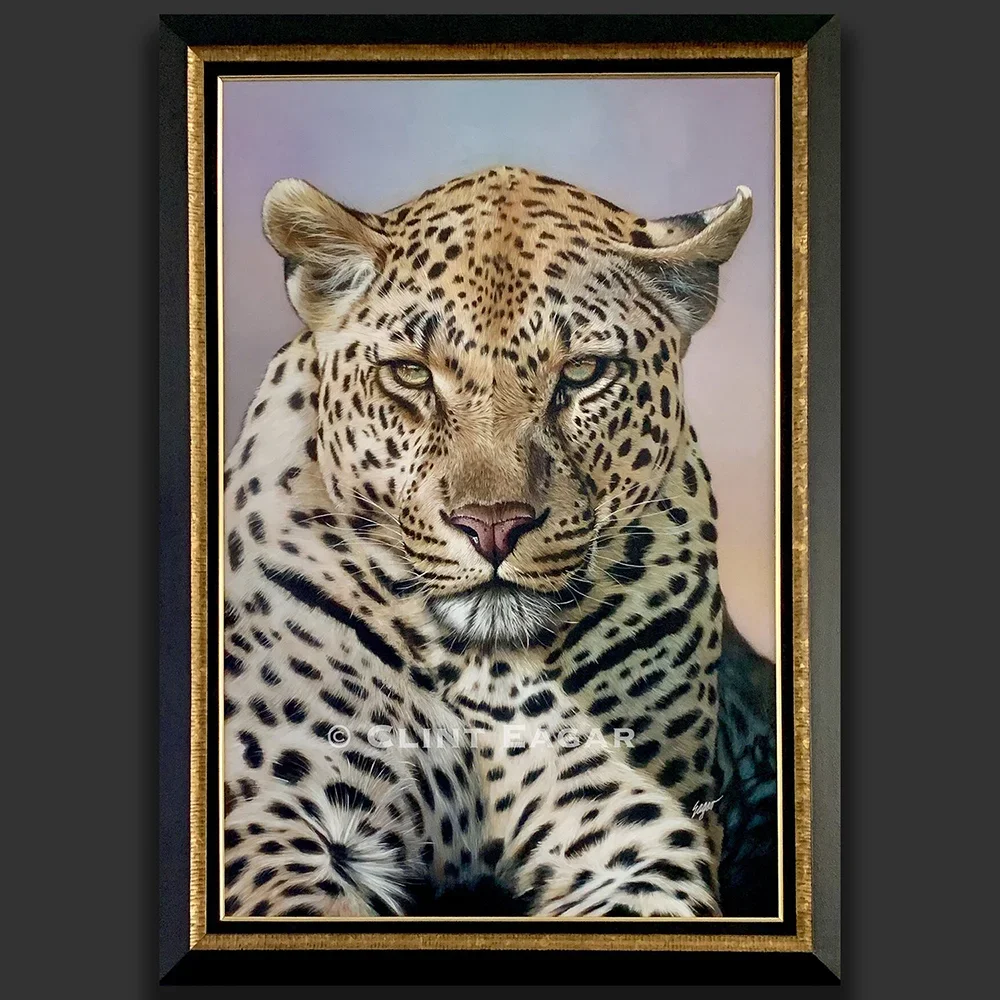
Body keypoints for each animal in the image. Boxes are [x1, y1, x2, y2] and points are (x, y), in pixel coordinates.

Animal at [222, 165, 757, 919]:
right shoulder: (282, 813)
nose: (494, 525)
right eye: (412, 374)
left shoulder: (627, 828)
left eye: (582, 372)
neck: (479, 668)